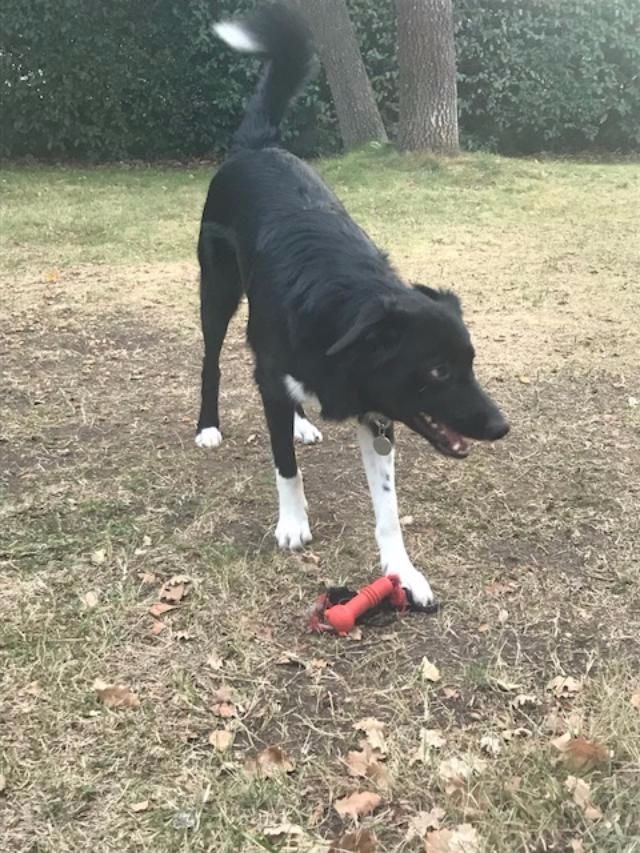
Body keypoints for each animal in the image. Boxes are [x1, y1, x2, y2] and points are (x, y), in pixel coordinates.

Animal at [196, 5, 510, 604]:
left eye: (472, 364)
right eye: (438, 370)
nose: (501, 426)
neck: (345, 309)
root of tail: (257, 147)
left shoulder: (377, 417)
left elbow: (386, 507)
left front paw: (401, 570)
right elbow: (285, 465)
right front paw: (293, 522)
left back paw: (299, 421)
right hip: (216, 290)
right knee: (212, 361)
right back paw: (209, 426)